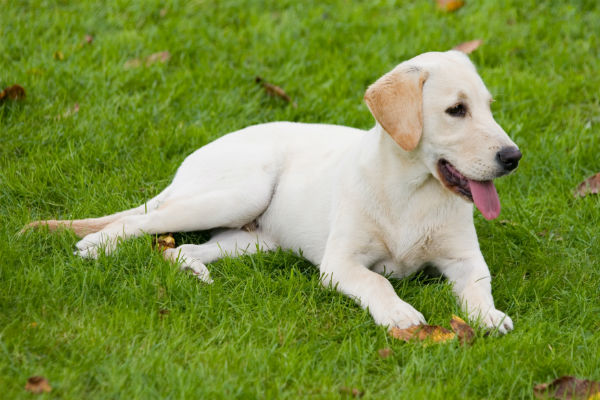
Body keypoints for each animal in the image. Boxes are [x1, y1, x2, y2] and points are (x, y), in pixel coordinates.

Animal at [24, 50, 520, 332]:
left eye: (489, 107)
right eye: (456, 110)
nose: (513, 156)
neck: (411, 190)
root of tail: (190, 163)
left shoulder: (464, 258)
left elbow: (479, 286)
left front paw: (488, 316)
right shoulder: (341, 264)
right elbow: (376, 281)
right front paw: (398, 313)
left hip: (256, 239)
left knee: (181, 249)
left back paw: (194, 272)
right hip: (238, 193)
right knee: (143, 220)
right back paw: (96, 245)